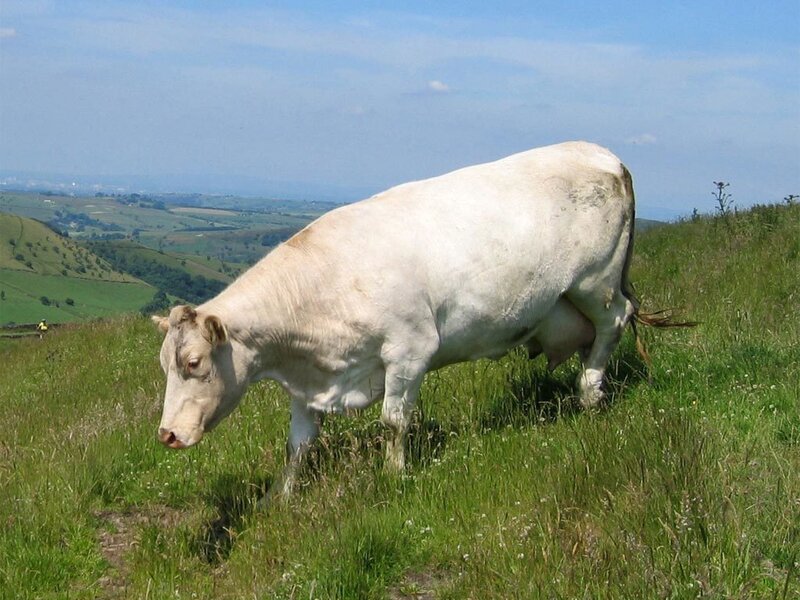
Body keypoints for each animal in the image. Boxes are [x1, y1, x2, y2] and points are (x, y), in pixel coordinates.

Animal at [153, 141, 641, 499]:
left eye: (194, 362)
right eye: (164, 366)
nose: (167, 435)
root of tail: (603, 155)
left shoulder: (410, 351)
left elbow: (393, 421)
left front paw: (393, 475)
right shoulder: (308, 382)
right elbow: (297, 445)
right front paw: (280, 497)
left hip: (596, 282)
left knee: (614, 322)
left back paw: (590, 393)